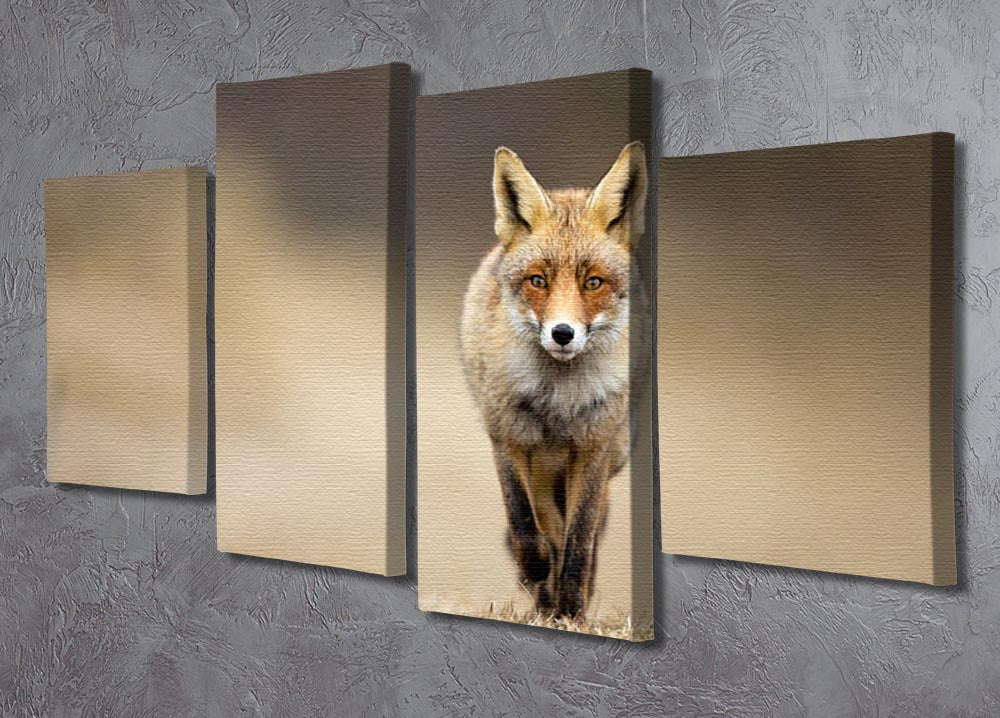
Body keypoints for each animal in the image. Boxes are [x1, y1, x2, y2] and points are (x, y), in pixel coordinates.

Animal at [460, 142, 647, 619]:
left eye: (593, 282)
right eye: (538, 281)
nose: (563, 333)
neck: (557, 399)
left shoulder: (594, 447)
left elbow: (579, 535)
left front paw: (572, 604)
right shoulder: (509, 439)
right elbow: (526, 520)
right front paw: (538, 570)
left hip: (613, 450)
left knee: (589, 525)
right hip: (542, 462)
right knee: (542, 518)